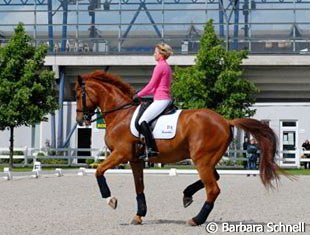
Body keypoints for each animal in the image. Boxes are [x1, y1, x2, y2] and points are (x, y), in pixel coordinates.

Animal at [75, 69, 280, 226]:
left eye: (78, 95)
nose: (79, 120)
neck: (121, 115)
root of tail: (225, 120)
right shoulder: (135, 160)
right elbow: (139, 186)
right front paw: (139, 215)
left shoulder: (120, 154)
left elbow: (99, 171)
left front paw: (110, 199)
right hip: (207, 160)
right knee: (214, 178)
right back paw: (187, 195)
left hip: (202, 160)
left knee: (213, 188)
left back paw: (196, 219)